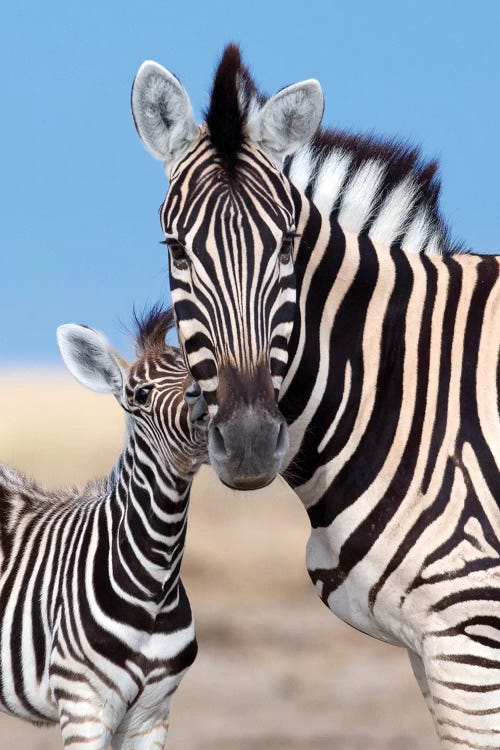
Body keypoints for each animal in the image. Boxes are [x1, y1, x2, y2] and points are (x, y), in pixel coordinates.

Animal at [0, 306, 207, 750]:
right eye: (140, 395)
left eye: (201, 374)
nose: (204, 406)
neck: (155, 577)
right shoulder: (84, 705)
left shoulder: (152, 715)